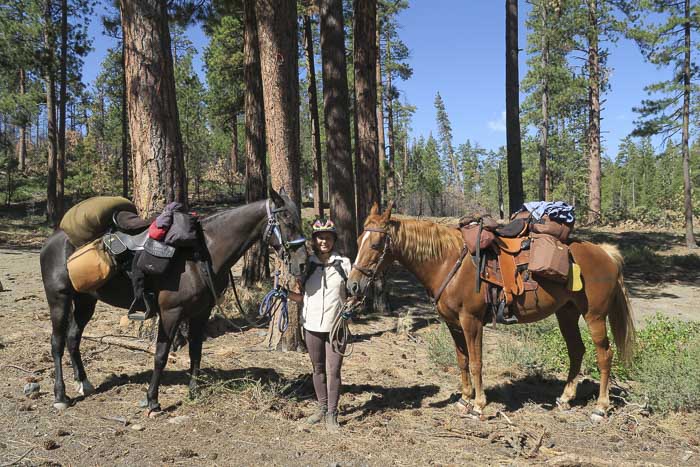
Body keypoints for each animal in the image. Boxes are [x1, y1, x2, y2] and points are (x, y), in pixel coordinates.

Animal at [41, 190, 306, 414]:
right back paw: (60, 396)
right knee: (57, 343)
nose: (303, 263)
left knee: (73, 338)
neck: (202, 255)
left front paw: (193, 392)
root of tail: (52, 240)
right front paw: (152, 401)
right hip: (59, 299)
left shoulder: (201, 312)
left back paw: (83, 383)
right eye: (288, 221)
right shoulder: (170, 313)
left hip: (85, 300)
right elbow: (161, 355)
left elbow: (196, 352)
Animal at [348, 204, 636, 420]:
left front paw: (478, 405)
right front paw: (464, 399)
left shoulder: (471, 321)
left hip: (594, 316)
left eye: (376, 245)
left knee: (604, 355)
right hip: (566, 313)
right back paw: (565, 399)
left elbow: (476, 363)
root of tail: (606, 253)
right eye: (359, 240)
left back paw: (600, 408)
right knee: (577, 351)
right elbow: (462, 361)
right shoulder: (453, 324)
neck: (446, 262)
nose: (353, 285)